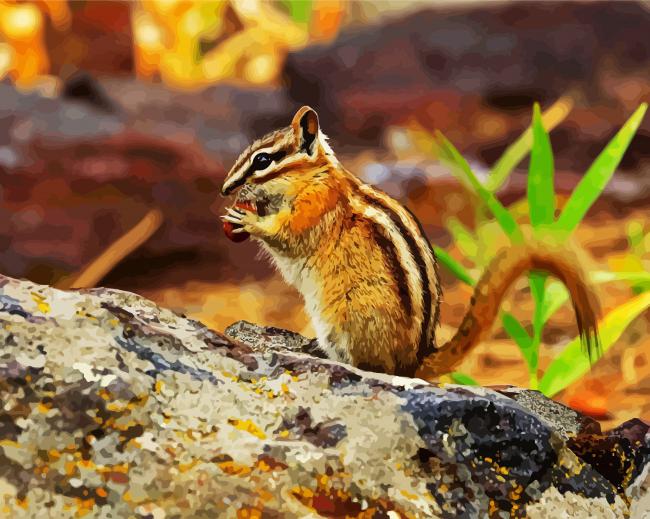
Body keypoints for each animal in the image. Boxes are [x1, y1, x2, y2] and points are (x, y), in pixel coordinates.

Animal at [221, 106, 600, 377]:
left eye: (263, 160)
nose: (225, 189)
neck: (315, 177)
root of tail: (415, 360)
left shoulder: (315, 209)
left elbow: (286, 236)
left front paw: (247, 219)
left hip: (348, 316)